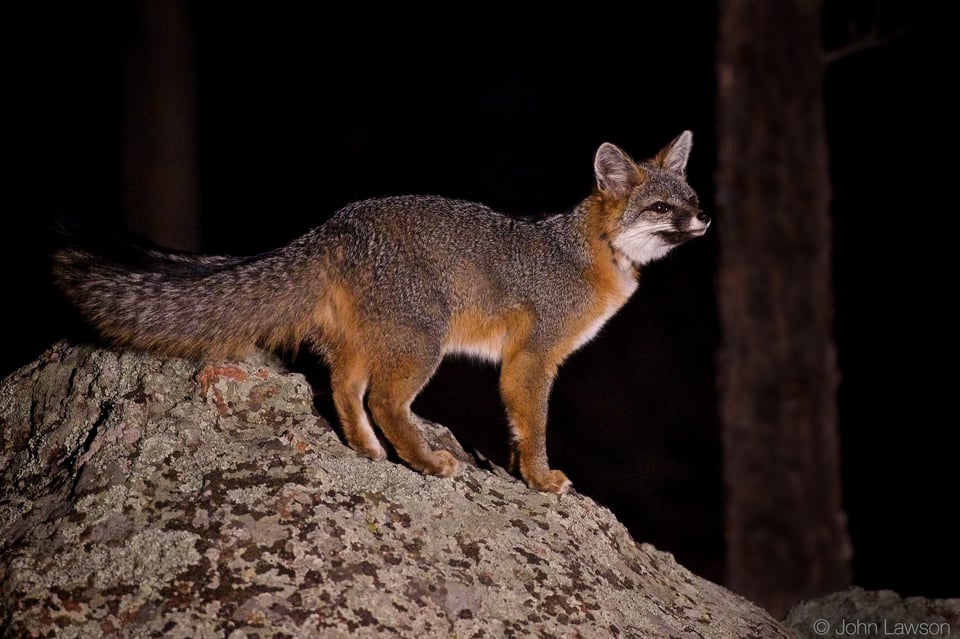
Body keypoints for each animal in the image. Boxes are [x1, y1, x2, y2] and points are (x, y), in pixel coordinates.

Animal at [56, 132, 708, 496]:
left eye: (693, 199)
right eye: (661, 207)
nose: (705, 219)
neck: (586, 251)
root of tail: (333, 227)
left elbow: (520, 429)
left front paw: (522, 472)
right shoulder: (532, 357)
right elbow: (535, 428)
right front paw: (541, 480)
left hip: (368, 347)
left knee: (346, 390)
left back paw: (368, 452)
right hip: (424, 345)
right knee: (386, 402)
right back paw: (426, 462)